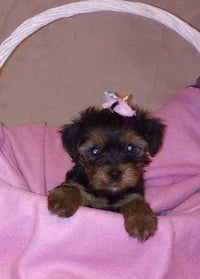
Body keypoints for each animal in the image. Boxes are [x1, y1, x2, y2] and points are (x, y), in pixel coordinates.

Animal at [47, 93, 165, 242]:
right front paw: (63, 199)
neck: (108, 193)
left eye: (129, 148)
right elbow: (74, 186)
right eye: (95, 151)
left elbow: (135, 199)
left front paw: (142, 219)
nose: (115, 173)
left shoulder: (131, 192)